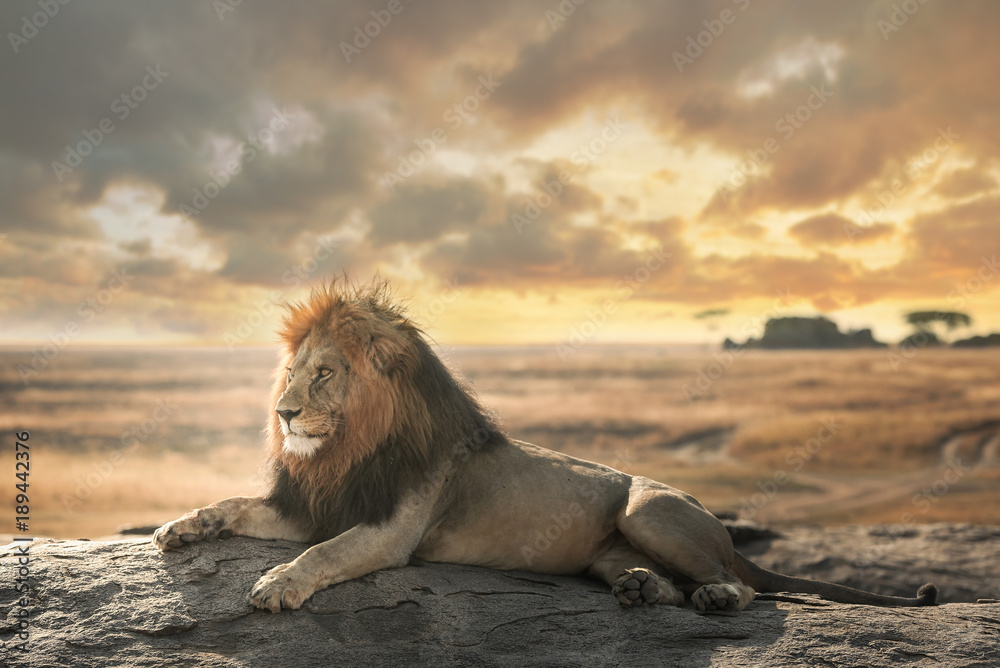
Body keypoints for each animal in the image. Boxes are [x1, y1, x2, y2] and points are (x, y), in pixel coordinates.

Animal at [150, 280, 936, 612]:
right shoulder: (317, 506)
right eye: (291, 372)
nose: (283, 414)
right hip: (614, 544)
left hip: (648, 510)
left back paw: (713, 594)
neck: (349, 448)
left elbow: (324, 555)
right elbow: (232, 503)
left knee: (742, 584)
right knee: (659, 578)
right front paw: (179, 526)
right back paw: (641, 588)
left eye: (324, 374)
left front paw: (277, 584)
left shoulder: (386, 530)